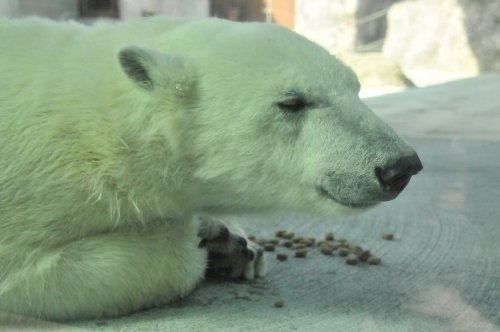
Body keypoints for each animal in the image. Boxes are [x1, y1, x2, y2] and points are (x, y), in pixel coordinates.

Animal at [0, 16, 422, 322]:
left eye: (356, 87)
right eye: (292, 102)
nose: (399, 167)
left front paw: (232, 242)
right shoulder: (33, 192)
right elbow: (26, 271)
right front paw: (201, 240)